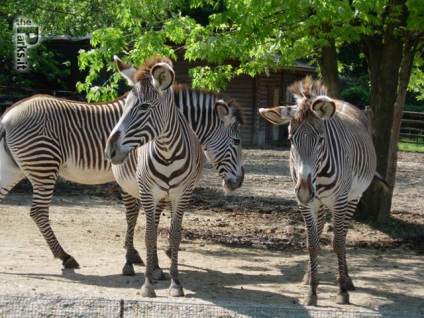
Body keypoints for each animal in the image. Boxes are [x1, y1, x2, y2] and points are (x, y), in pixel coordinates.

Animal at [0, 62, 245, 274]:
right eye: (237, 141)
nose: (239, 182)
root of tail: (8, 114)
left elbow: (140, 212)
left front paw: (141, 252)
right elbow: (136, 213)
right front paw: (139, 254)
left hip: (13, 168)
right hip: (44, 166)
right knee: (38, 212)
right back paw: (65, 257)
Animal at [105, 55, 202, 298]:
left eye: (144, 107)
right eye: (124, 107)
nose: (109, 151)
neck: (167, 152)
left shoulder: (182, 195)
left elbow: (173, 235)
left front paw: (175, 282)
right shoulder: (147, 192)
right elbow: (148, 236)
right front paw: (147, 284)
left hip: (161, 198)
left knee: (156, 223)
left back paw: (158, 268)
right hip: (130, 190)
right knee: (131, 220)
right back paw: (129, 264)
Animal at [258, 76, 380, 306]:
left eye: (321, 139)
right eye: (291, 139)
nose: (305, 190)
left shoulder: (340, 199)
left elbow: (338, 242)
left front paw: (342, 290)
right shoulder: (305, 203)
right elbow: (312, 243)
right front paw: (312, 290)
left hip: (353, 197)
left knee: (343, 233)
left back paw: (347, 279)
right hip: (320, 203)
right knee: (322, 228)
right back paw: (309, 275)